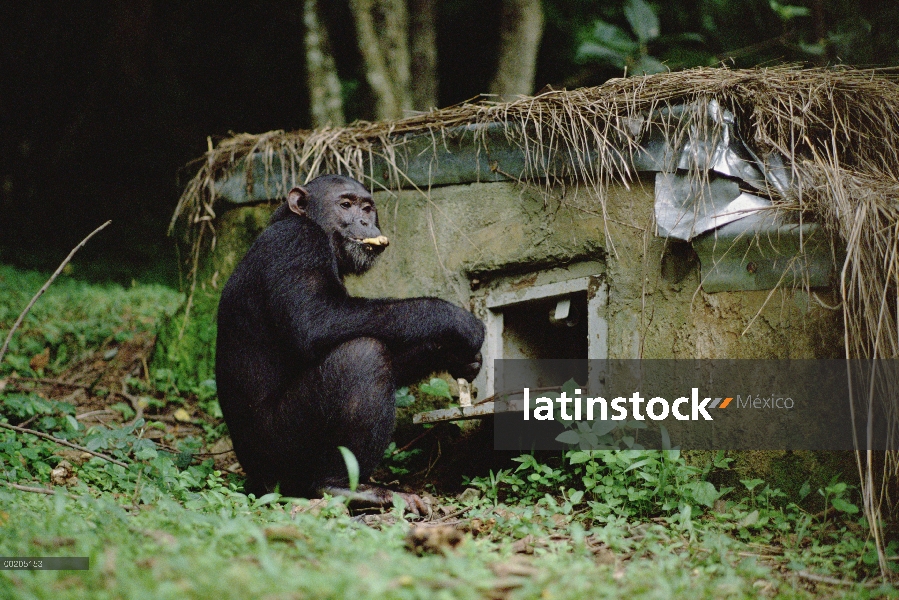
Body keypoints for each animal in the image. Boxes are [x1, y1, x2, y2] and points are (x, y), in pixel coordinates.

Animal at [216, 172, 486, 510]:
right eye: (345, 205)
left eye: (367, 208)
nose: (364, 221)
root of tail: (253, 476)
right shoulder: (297, 243)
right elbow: (317, 320)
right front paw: (456, 321)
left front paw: (455, 355)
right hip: (281, 452)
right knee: (362, 354)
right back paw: (345, 487)